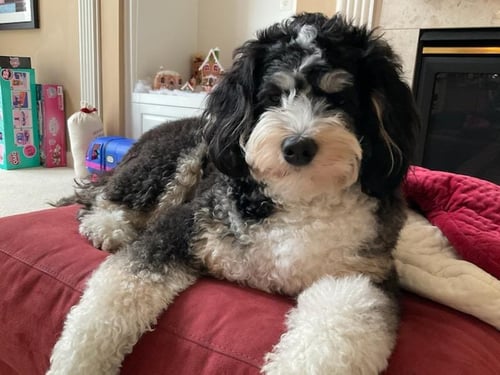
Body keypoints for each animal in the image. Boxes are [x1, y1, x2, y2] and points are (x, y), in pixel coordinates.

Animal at [49, 12, 418, 375]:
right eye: (273, 96)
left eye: (340, 98)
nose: (298, 147)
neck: (296, 198)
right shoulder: (180, 227)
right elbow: (112, 299)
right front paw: (75, 361)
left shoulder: (360, 279)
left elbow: (335, 333)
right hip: (170, 165)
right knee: (99, 198)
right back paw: (107, 226)